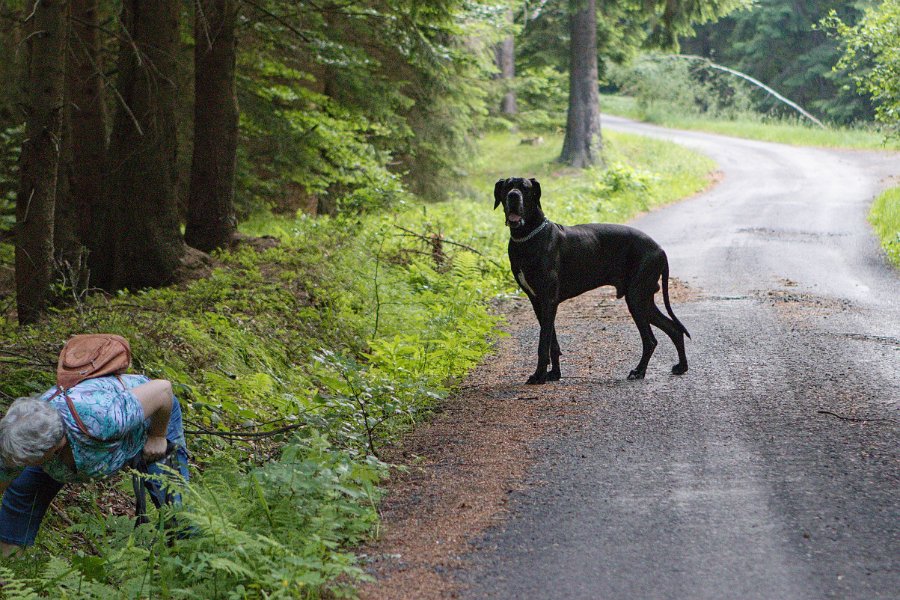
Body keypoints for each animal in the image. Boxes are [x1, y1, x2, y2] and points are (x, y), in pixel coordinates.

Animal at [496, 177, 692, 384]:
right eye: (507, 186)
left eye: (525, 188)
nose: (513, 196)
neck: (528, 237)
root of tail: (660, 249)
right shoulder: (538, 302)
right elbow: (552, 342)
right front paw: (554, 374)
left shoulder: (548, 301)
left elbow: (543, 343)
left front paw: (539, 375)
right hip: (643, 299)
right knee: (674, 329)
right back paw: (681, 366)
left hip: (636, 298)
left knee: (650, 340)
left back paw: (639, 371)